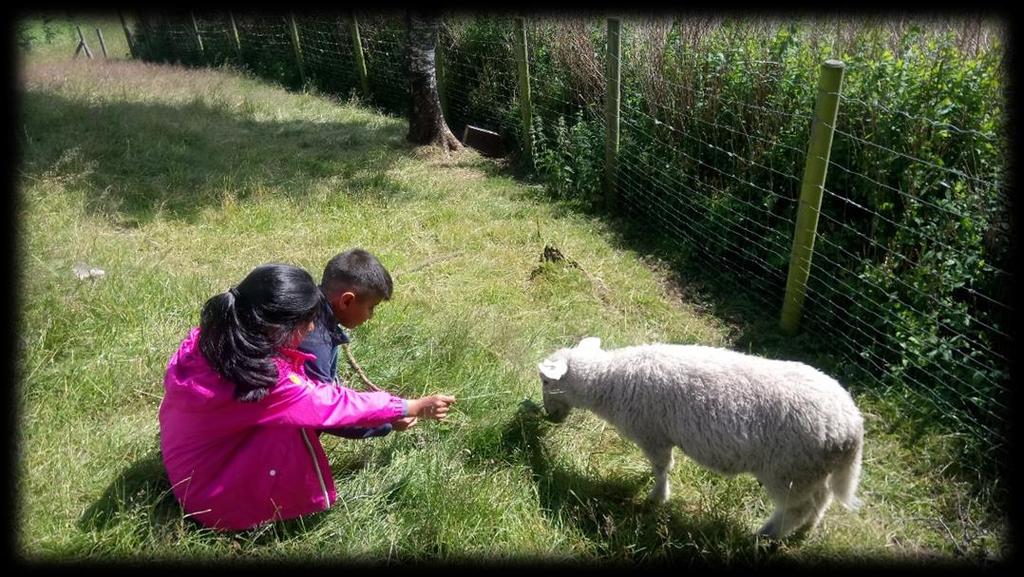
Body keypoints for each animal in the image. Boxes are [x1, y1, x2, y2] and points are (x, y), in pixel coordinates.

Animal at [536, 336, 864, 541]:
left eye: (544, 381)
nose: (549, 417)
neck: (610, 381)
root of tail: (852, 428)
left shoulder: (653, 434)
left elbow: (662, 468)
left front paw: (657, 497)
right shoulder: (657, 436)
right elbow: (660, 467)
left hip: (789, 471)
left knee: (795, 509)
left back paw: (764, 535)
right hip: (812, 470)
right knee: (821, 500)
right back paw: (806, 530)